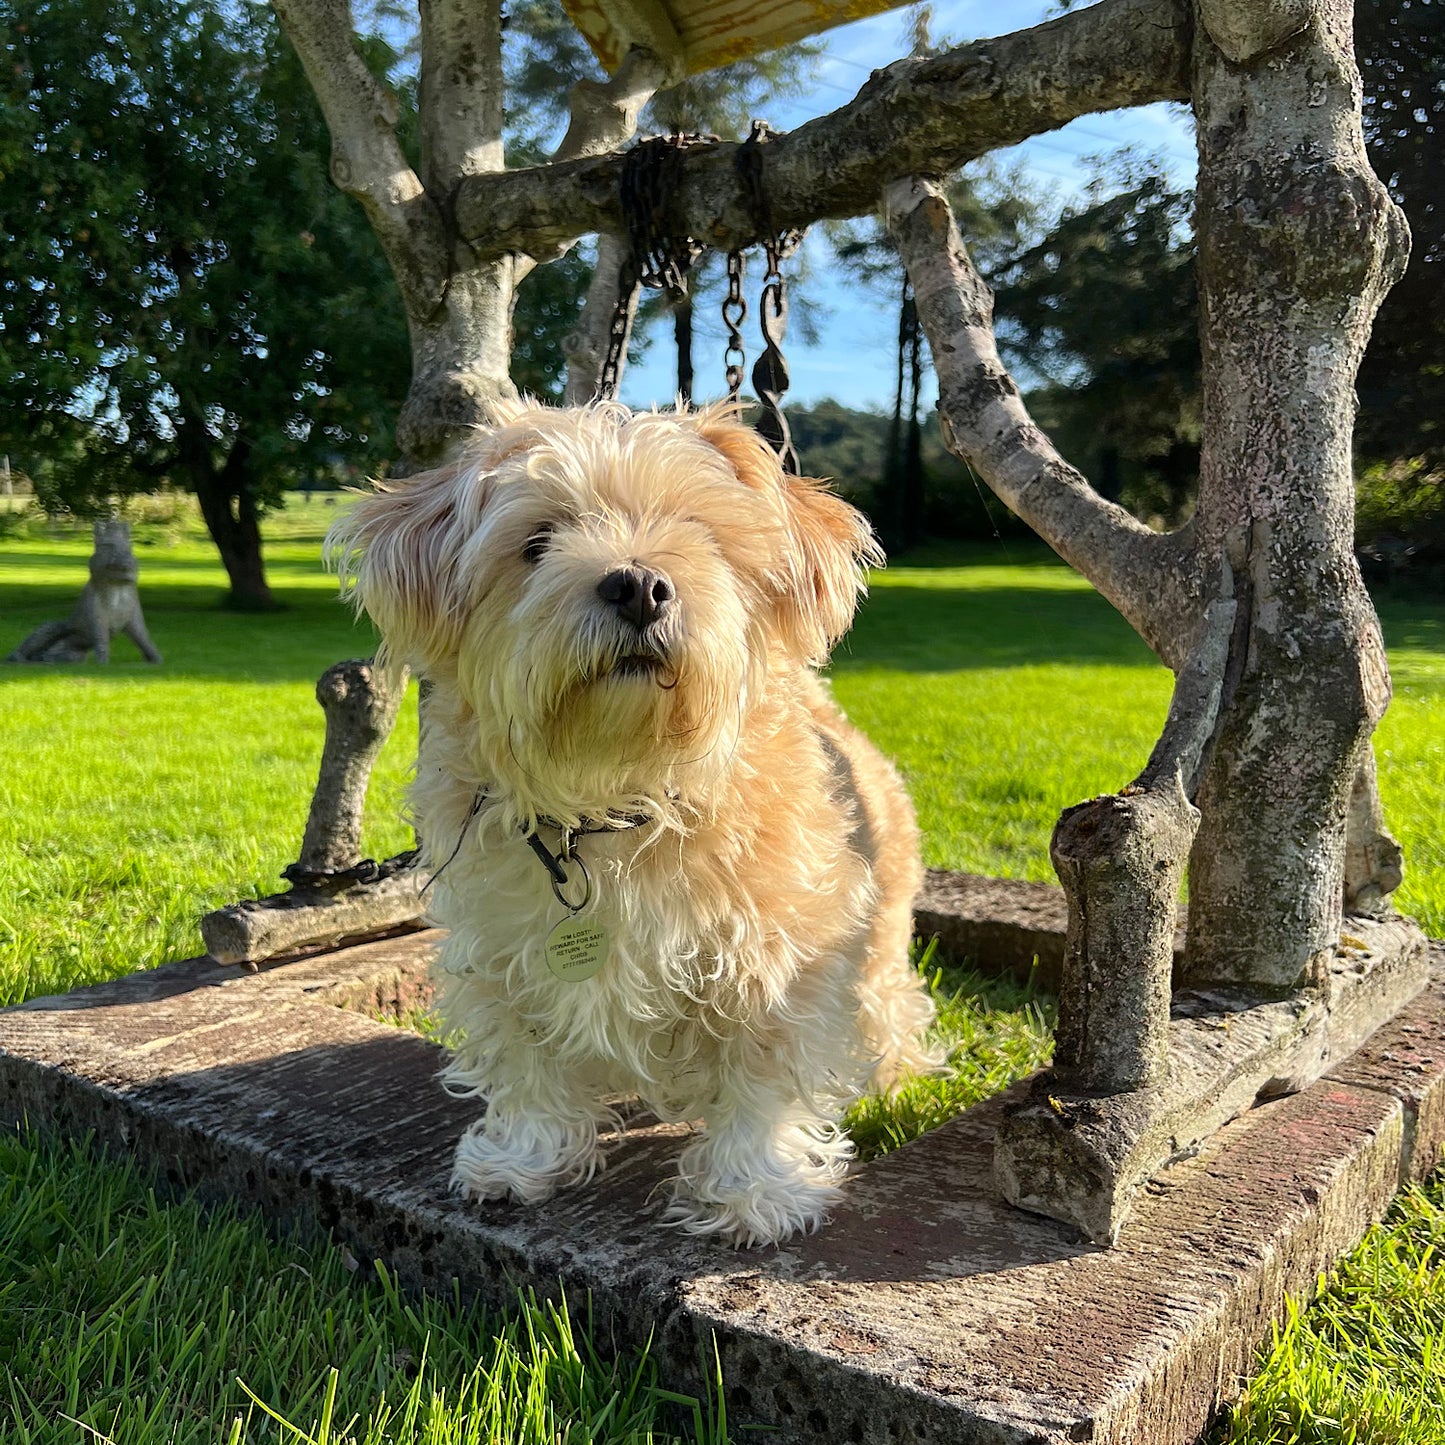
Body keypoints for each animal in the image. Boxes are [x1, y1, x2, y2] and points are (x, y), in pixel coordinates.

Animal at [329, 398, 936, 1242]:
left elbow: (761, 1077)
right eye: (537, 541)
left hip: (877, 942)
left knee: (888, 1006)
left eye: (699, 532)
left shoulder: (777, 961)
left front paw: (755, 1187)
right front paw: (522, 1155)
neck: (617, 800)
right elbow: (524, 1060)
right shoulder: (502, 956)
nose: (639, 584)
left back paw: (893, 1077)